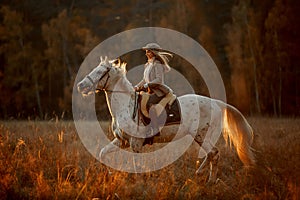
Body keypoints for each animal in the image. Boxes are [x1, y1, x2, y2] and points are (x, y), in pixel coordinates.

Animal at [76, 56, 254, 184]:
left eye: (100, 72)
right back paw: (199, 173)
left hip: (201, 135)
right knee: (211, 154)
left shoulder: (135, 143)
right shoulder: (123, 141)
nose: (80, 86)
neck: (125, 106)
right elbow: (102, 152)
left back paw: (210, 180)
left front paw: (138, 184)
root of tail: (216, 103)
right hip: (201, 136)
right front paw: (109, 173)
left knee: (214, 154)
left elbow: (136, 165)